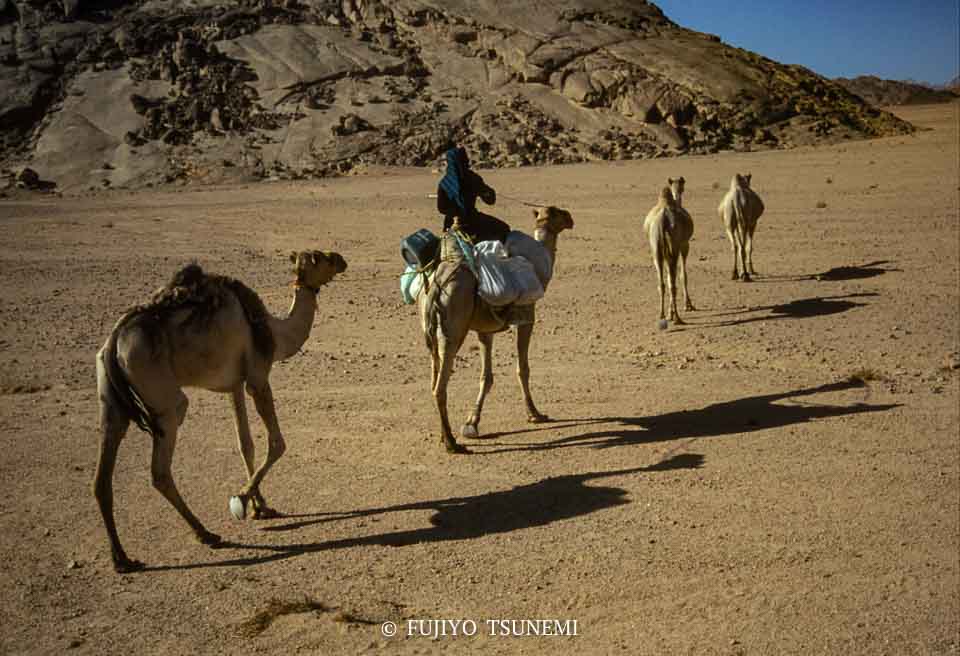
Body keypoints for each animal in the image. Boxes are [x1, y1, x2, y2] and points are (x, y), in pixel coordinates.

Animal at [92, 249, 346, 572]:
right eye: (321, 257)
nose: (342, 259)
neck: (275, 331)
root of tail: (114, 342)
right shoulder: (258, 377)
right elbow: (277, 443)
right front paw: (241, 499)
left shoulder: (234, 385)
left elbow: (245, 444)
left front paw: (261, 507)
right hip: (163, 398)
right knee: (160, 470)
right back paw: (206, 534)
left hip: (110, 402)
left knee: (103, 473)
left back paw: (122, 558)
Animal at [418, 208, 568, 454]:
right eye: (558, 213)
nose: (570, 219)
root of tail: (436, 288)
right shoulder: (527, 318)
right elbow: (522, 368)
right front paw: (535, 414)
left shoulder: (484, 331)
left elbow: (486, 376)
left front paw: (472, 423)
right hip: (453, 330)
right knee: (439, 387)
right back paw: (451, 443)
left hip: (430, 331)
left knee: (434, 377)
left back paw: (443, 436)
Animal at [644, 182, 696, 322]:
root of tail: (663, 219)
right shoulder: (684, 245)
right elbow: (683, 275)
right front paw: (688, 305)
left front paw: (669, 313)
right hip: (675, 247)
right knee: (672, 282)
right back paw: (677, 318)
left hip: (657, 248)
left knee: (663, 283)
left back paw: (662, 314)